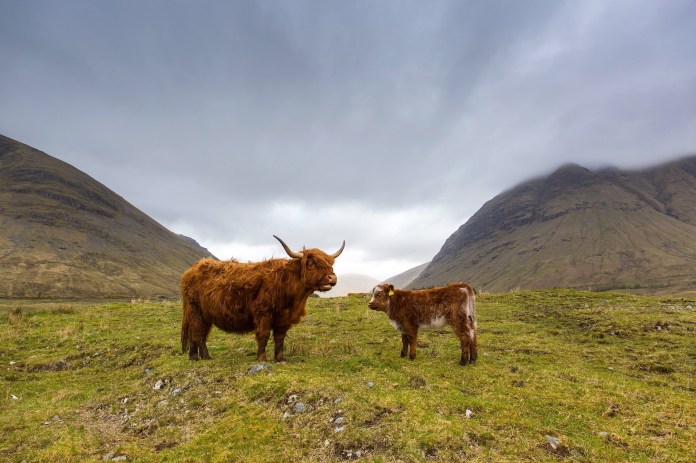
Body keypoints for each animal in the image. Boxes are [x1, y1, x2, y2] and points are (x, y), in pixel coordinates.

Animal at [180, 235, 344, 363]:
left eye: (330, 263)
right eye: (311, 263)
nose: (332, 277)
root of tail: (190, 271)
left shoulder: (284, 317)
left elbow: (280, 337)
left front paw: (280, 359)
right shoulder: (263, 312)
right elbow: (263, 334)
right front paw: (262, 358)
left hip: (203, 315)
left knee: (196, 334)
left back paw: (194, 357)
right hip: (196, 311)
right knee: (198, 333)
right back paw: (205, 357)